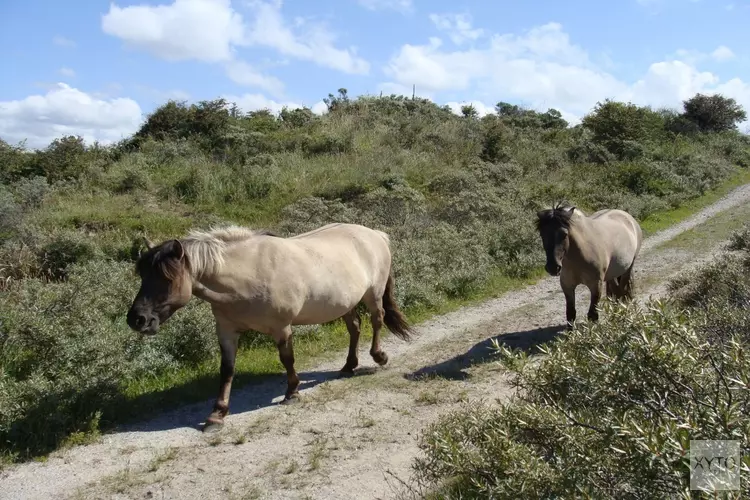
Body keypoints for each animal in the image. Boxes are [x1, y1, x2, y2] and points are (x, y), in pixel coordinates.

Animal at [125, 222, 414, 430]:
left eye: (167, 278)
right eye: (143, 276)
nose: (137, 319)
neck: (247, 276)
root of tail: (375, 234)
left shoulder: (281, 328)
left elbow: (287, 359)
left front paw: (292, 392)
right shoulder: (226, 331)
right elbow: (226, 370)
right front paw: (217, 414)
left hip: (373, 295)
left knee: (377, 321)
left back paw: (378, 356)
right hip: (345, 303)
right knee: (354, 328)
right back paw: (348, 365)